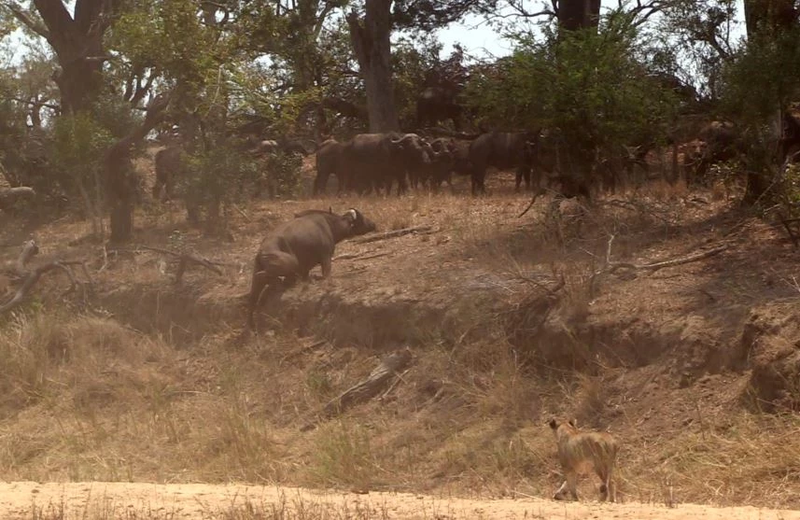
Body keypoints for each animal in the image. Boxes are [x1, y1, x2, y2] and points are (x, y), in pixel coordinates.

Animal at [245, 208, 376, 328]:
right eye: (361, 218)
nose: (373, 224)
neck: (329, 224)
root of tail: (261, 252)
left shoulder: (305, 269)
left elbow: (305, 277)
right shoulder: (325, 257)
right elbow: (326, 274)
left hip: (257, 279)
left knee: (252, 298)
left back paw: (251, 324)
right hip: (291, 263)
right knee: (264, 276)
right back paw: (277, 284)